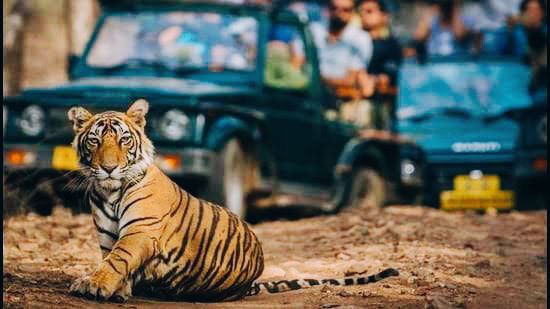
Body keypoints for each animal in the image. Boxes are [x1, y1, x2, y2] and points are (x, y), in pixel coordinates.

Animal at [68, 98, 402, 300]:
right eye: (95, 140)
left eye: (124, 140)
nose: (109, 168)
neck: (109, 192)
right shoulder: (108, 235)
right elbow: (112, 259)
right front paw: (115, 289)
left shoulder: (141, 231)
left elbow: (117, 259)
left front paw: (94, 284)